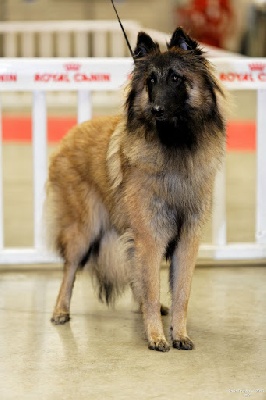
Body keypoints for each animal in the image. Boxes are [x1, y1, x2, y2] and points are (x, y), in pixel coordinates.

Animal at [45, 27, 227, 350]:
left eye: (175, 78)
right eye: (150, 81)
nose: (156, 110)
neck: (174, 147)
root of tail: (68, 137)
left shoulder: (186, 240)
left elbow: (181, 293)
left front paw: (179, 334)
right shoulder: (150, 236)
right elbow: (152, 288)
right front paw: (156, 336)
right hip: (84, 229)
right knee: (70, 269)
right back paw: (60, 311)